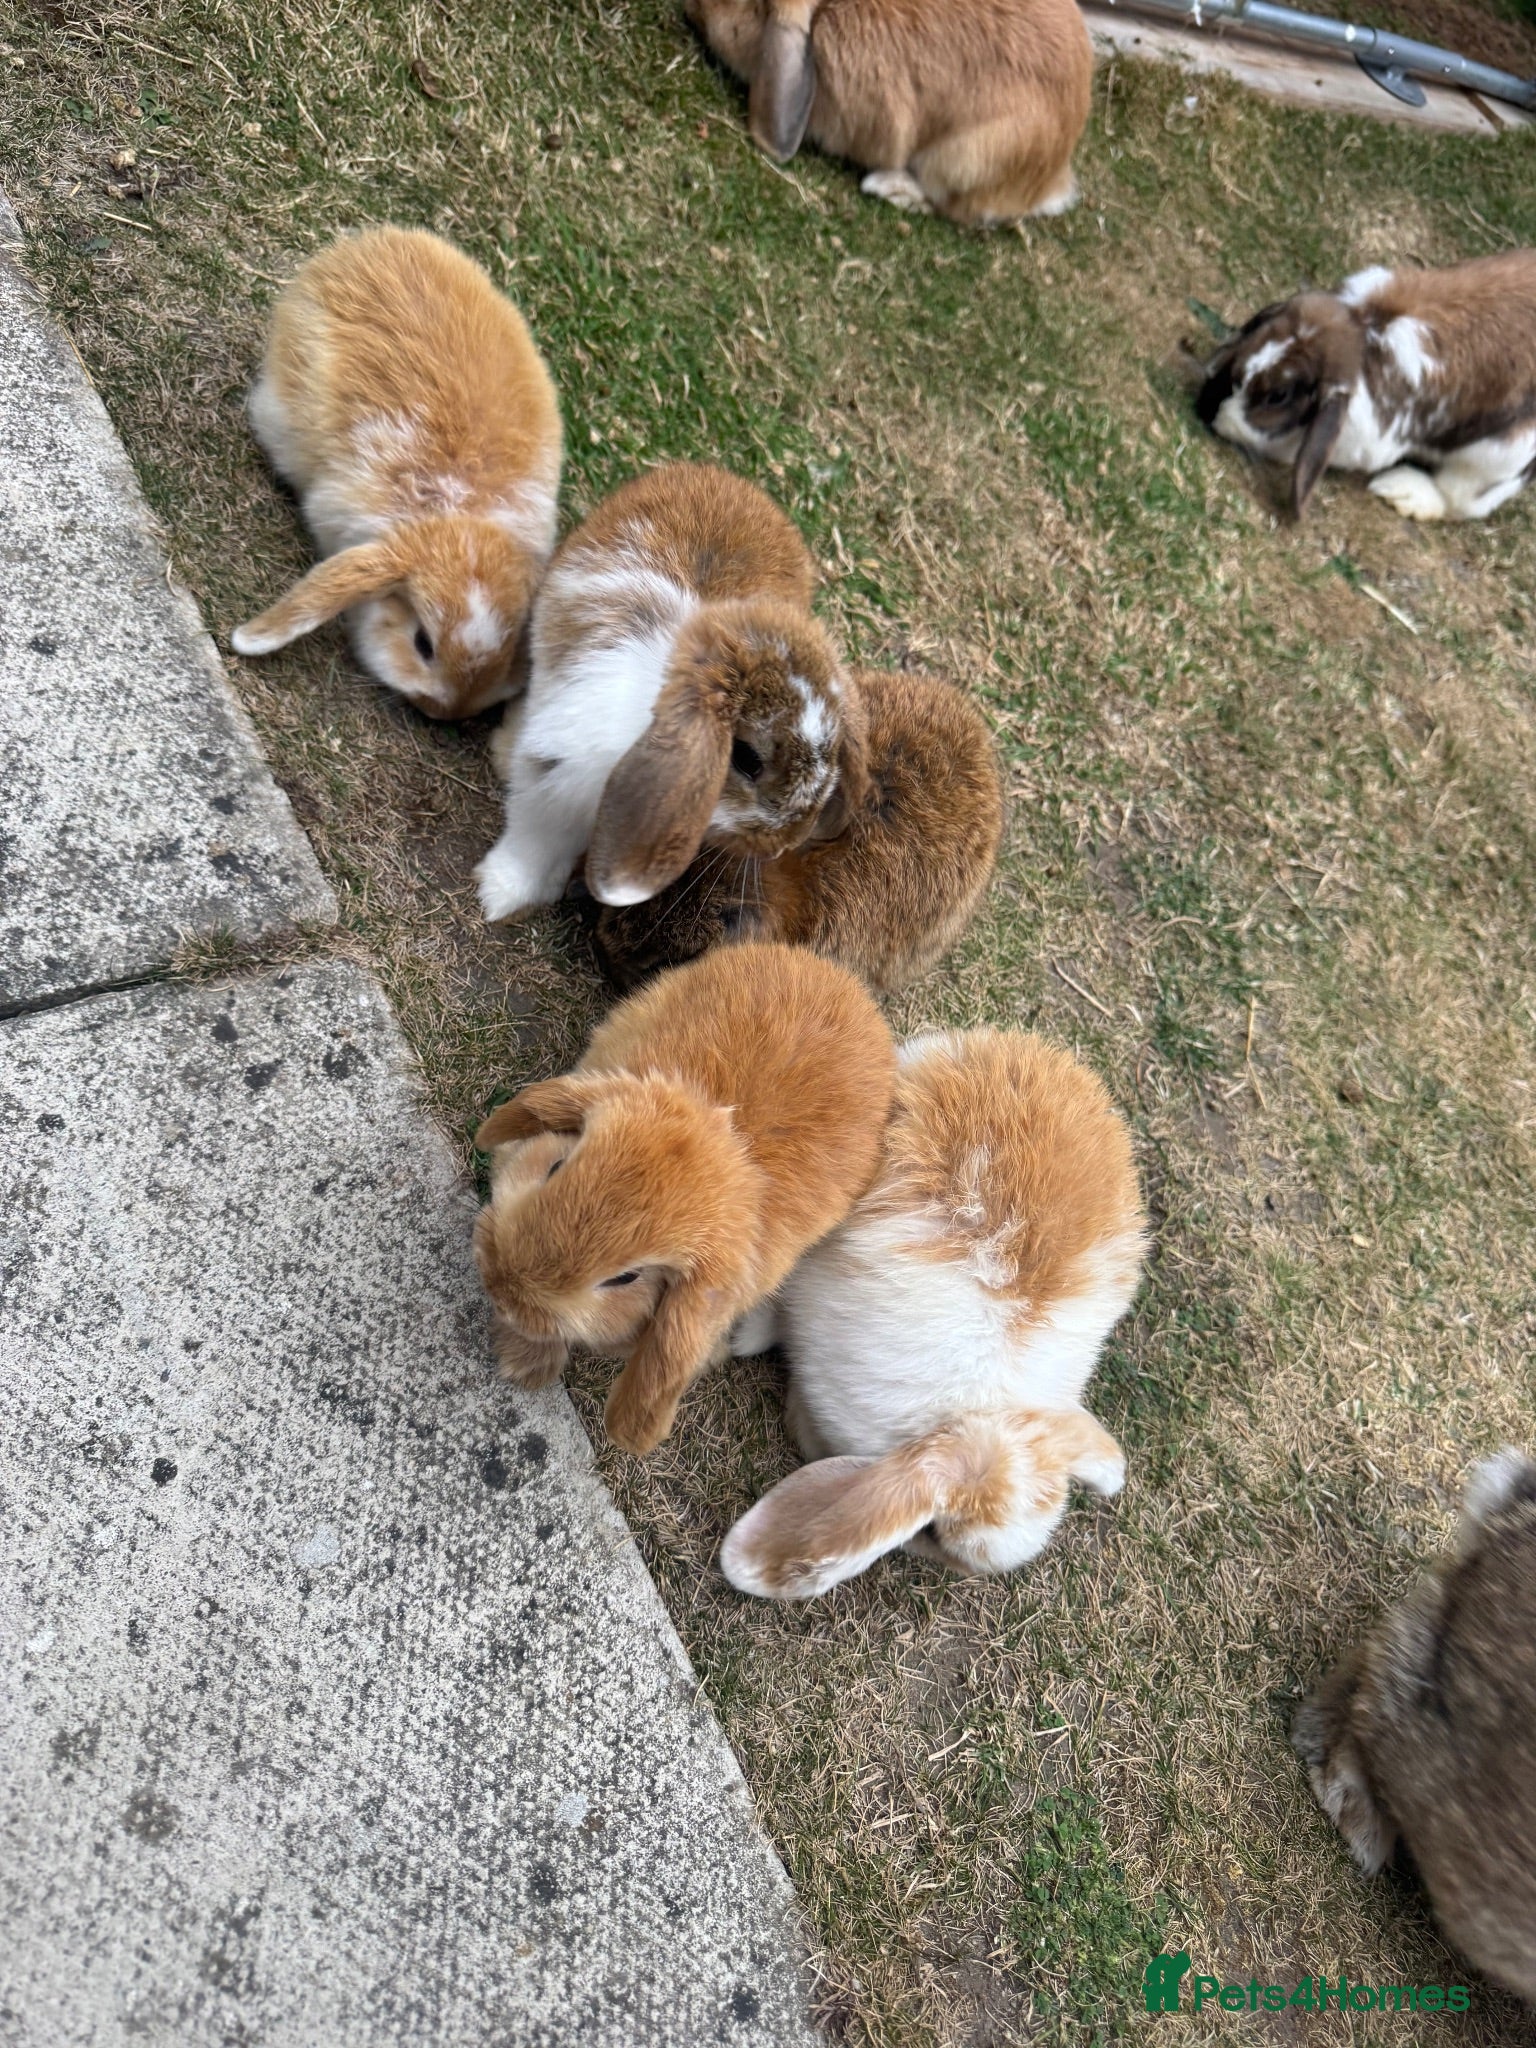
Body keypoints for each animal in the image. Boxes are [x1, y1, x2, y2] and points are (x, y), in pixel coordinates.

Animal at [471, 941, 897, 1457]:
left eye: (626, 1278)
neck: (727, 1145)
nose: (502, 1290)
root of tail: (847, 984)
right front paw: (524, 1361)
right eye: (555, 1168)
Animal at [475, 461, 864, 922]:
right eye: (747, 760)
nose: (783, 843)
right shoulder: (556, 780)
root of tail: (726, 479)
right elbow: (534, 842)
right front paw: (499, 897)